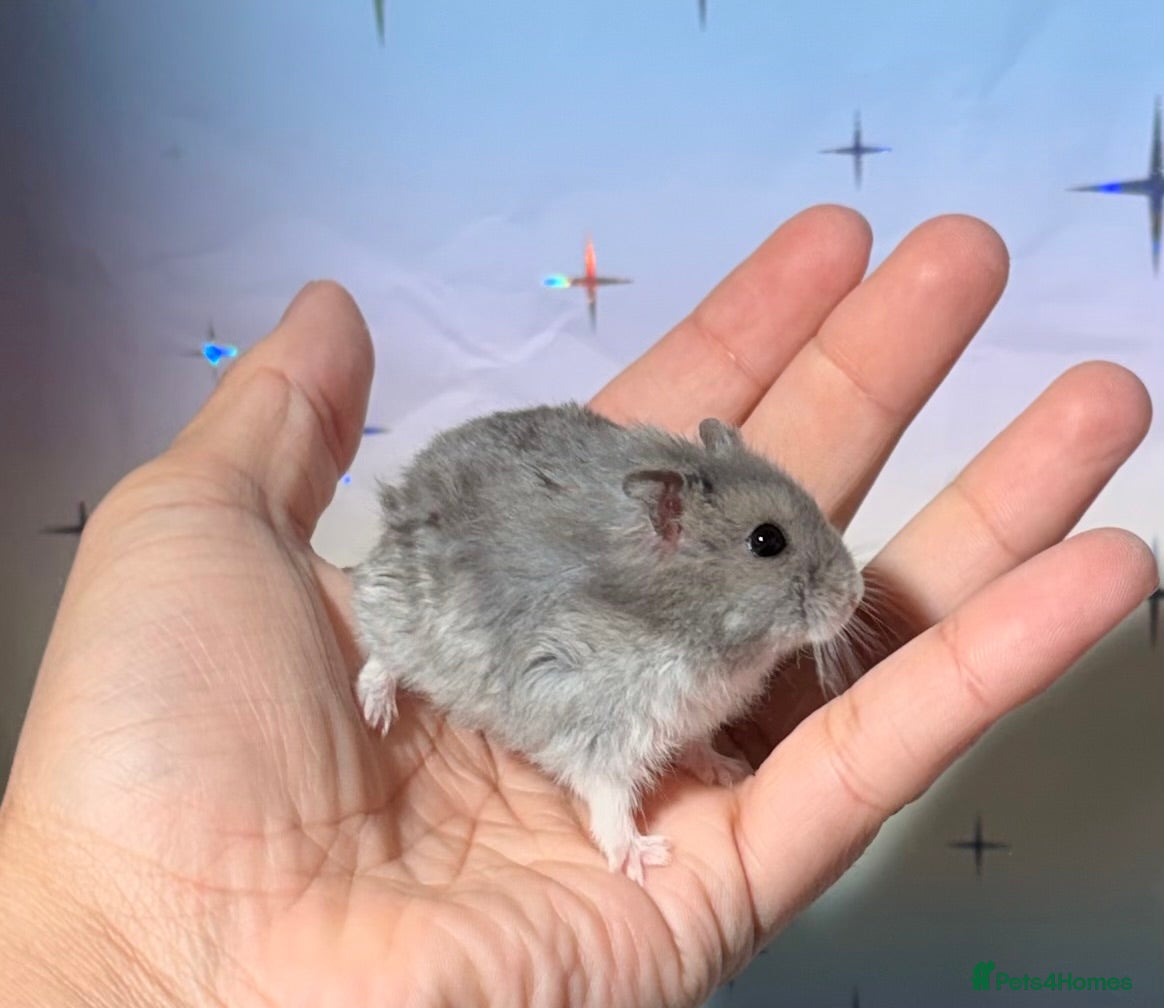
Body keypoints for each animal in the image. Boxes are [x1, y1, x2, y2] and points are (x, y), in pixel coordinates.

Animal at [350, 403, 863, 883]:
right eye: (766, 540)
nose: (854, 594)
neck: (701, 636)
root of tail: (402, 496)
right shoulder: (596, 728)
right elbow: (610, 801)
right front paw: (646, 859)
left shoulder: (694, 716)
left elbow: (698, 747)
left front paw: (729, 771)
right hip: (399, 613)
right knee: (379, 649)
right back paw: (377, 714)